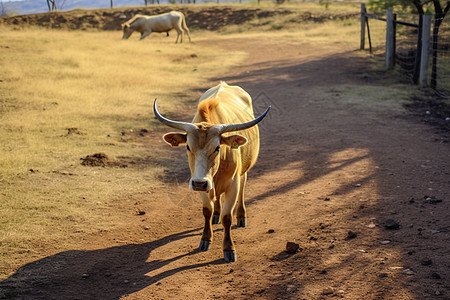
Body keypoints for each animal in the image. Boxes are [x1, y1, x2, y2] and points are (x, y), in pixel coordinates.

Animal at [153, 82, 268, 262]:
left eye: (217, 147)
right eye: (188, 146)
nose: (200, 182)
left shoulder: (232, 185)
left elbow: (227, 218)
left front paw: (229, 249)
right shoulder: (201, 185)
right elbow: (207, 211)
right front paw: (205, 239)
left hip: (243, 172)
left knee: (243, 187)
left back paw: (241, 216)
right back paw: (216, 215)